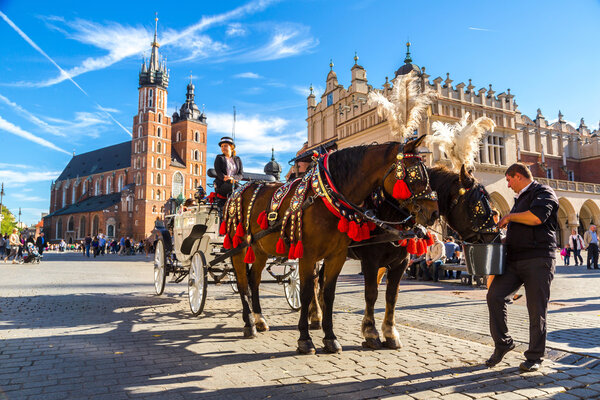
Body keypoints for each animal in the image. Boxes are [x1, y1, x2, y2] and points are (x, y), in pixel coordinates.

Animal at [227, 137, 438, 354]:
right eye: (414, 174)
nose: (434, 213)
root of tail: (240, 189)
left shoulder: (341, 256)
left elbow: (333, 294)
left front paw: (331, 338)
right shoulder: (316, 256)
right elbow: (309, 293)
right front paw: (305, 340)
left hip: (260, 249)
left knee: (254, 280)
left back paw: (261, 320)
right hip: (239, 247)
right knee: (242, 282)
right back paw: (250, 324)